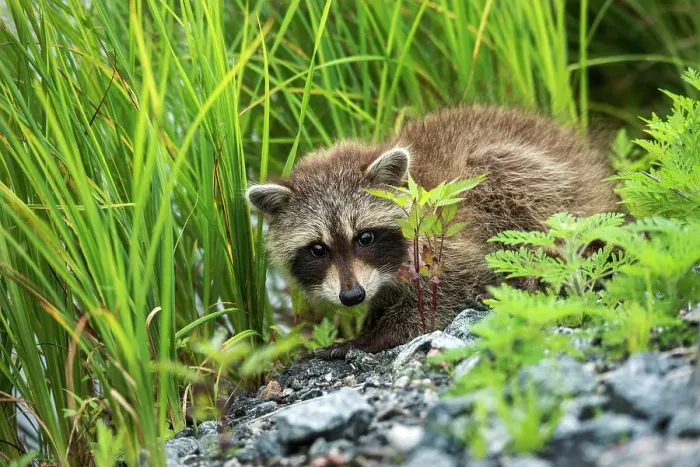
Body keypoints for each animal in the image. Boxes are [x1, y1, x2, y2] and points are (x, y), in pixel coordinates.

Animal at [246, 106, 619, 359]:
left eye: (364, 238)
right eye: (317, 249)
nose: (352, 296)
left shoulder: (446, 239)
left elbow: (455, 286)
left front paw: (370, 338)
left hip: (537, 179)